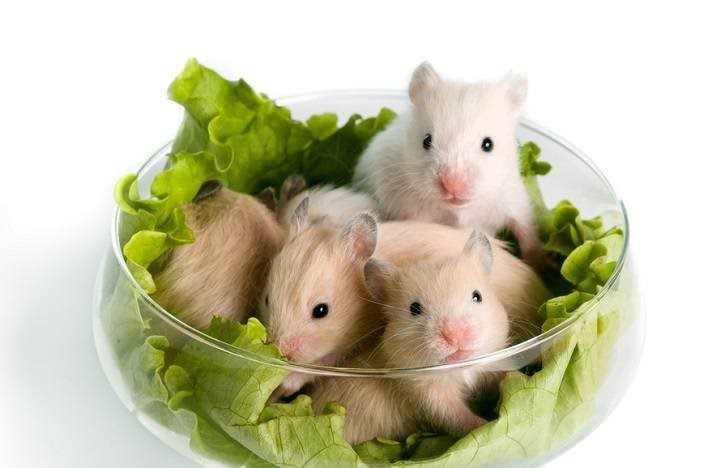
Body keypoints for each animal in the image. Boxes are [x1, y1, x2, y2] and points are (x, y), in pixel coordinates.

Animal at [310, 231, 509, 443]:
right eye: (414, 309)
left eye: (477, 296)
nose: (455, 336)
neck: (460, 368)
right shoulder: (428, 394)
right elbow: (456, 415)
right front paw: (486, 425)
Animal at [353, 62, 545, 270]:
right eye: (426, 141)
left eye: (488, 144)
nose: (453, 186)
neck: (458, 209)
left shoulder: (514, 200)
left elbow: (527, 233)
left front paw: (541, 264)